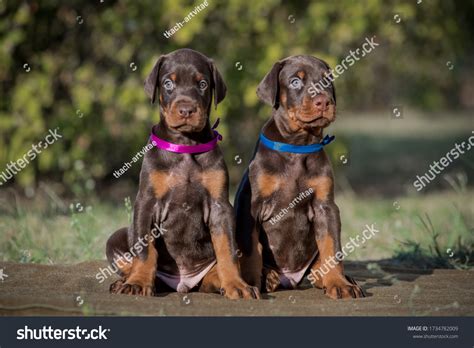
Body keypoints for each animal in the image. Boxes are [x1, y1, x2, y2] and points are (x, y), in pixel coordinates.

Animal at [106, 48, 260, 300]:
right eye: (168, 83)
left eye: (203, 84)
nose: (186, 110)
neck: (186, 145)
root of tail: (183, 283)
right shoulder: (147, 202)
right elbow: (144, 251)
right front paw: (138, 282)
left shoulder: (220, 207)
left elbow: (227, 250)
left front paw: (236, 285)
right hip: (116, 238)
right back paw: (126, 282)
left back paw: (221, 282)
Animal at [235, 54, 364, 300]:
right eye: (295, 81)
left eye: (327, 81)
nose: (323, 102)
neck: (298, 145)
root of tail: (291, 279)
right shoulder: (251, 207)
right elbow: (251, 253)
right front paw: (251, 284)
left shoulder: (326, 206)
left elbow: (332, 248)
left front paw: (339, 283)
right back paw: (269, 277)